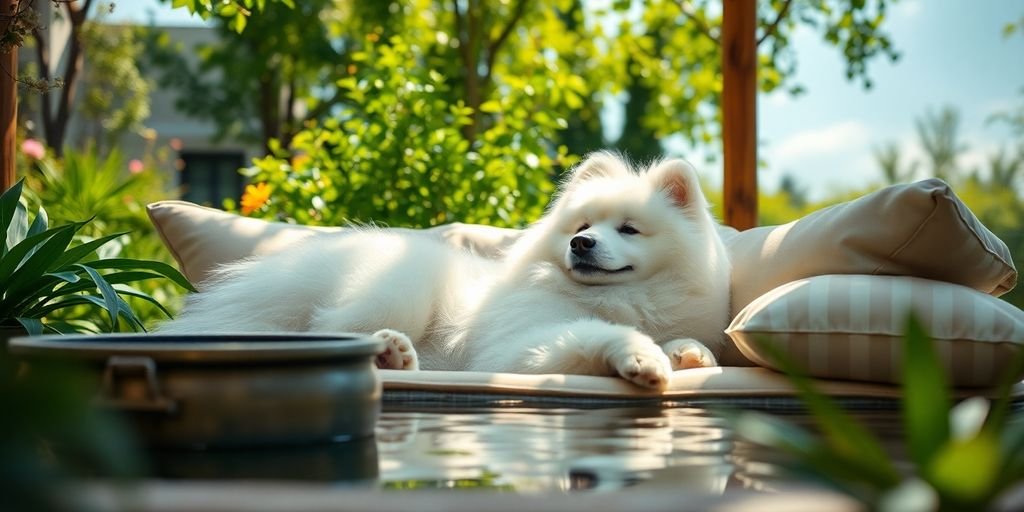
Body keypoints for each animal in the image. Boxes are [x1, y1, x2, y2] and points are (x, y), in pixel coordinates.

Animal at [159, 151, 733, 387]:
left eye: (629, 229)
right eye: (584, 223)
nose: (581, 243)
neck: (624, 298)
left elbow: (687, 341)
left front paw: (688, 353)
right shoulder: (517, 349)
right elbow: (593, 332)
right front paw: (640, 356)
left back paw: (398, 359)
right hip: (401, 288)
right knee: (329, 334)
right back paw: (386, 351)